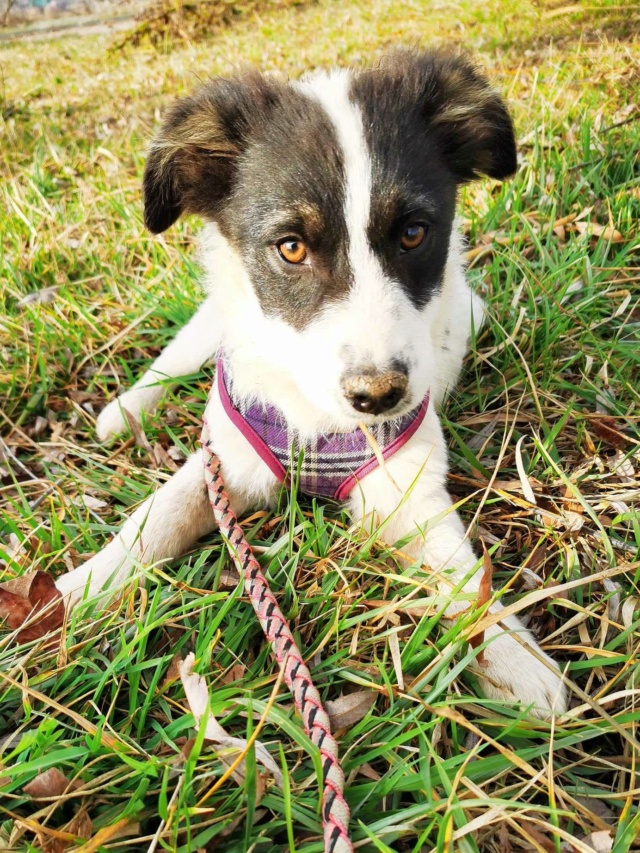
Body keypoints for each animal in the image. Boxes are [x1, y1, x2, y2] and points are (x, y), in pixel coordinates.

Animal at [57, 51, 568, 720]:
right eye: (292, 247)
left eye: (413, 233)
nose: (379, 397)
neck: (318, 423)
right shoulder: (229, 457)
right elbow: (158, 514)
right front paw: (81, 588)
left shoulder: (406, 490)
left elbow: (461, 575)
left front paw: (510, 655)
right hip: (210, 329)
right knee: (179, 352)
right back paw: (127, 409)